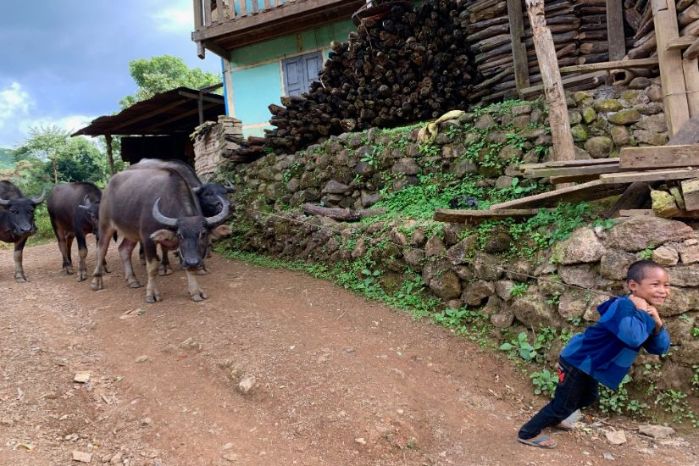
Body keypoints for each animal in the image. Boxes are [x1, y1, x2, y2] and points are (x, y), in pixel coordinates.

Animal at [91, 167, 230, 303]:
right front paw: (151, 294)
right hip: (105, 225)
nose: (193, 262)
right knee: (101, 249)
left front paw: (195, 291)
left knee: (124, 249)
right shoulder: (147, 239)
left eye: (203, 233)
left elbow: (188, 268)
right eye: (180, 235)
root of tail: (108, 187)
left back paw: (132, 280)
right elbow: (152, 268)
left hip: (131, 233)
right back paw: (96, 281)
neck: (166, 201)